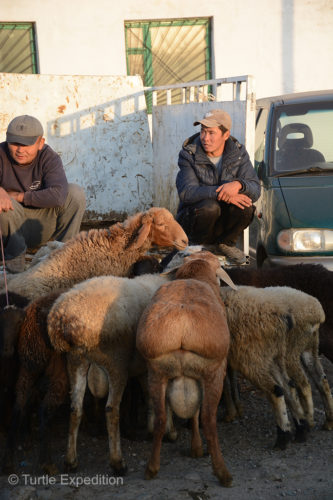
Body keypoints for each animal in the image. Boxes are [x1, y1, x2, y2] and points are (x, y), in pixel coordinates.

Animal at [0, 290, 68, 472]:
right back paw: (47, 463)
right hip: (58, 371)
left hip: (28, 365)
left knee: (20, 403)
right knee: (44, 409)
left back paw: (9, 459)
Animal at [135, 252, 233, 486]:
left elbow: (191, 413)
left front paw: (194, 446)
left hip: (157, 373)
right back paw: (223, 473)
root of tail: (181, 321)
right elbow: (197, 415)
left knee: (161, 419)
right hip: (213, 373)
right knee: (208, 419)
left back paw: (152, 468)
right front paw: (197, 448)